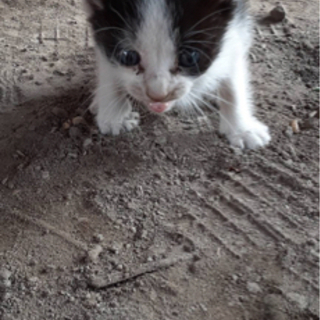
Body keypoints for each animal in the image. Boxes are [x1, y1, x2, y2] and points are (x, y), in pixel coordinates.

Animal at [82, 0, 270, 150]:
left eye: (189, 57)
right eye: (128, 57)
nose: (158, 95)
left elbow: (234, 47)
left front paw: (242, 128)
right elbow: (104, 52)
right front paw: (115, 113)